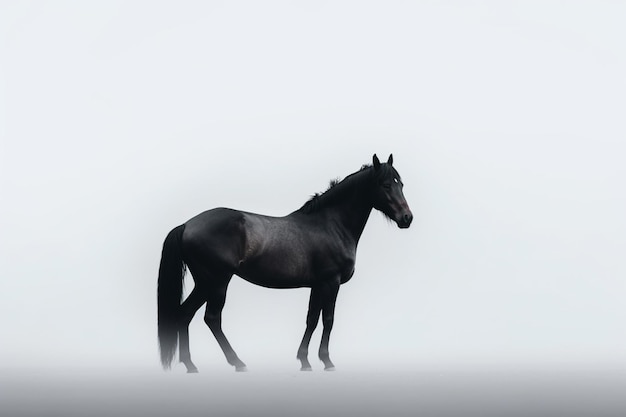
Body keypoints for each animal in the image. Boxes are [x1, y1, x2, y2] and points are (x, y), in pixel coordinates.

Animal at [157, 154, 410, 372]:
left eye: (401, 184)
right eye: (385, 185)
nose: (407, 218)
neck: (331, 224)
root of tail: (187, 225)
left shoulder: (318, 285)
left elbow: (311, 320)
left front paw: (305, 360)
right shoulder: (331, 282)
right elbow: (328, 320)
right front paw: (326, 361)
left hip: (205, 283)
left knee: (184, 315)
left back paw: (191, 365)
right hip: (216, 282)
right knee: (211, 318)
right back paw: (237, 362)